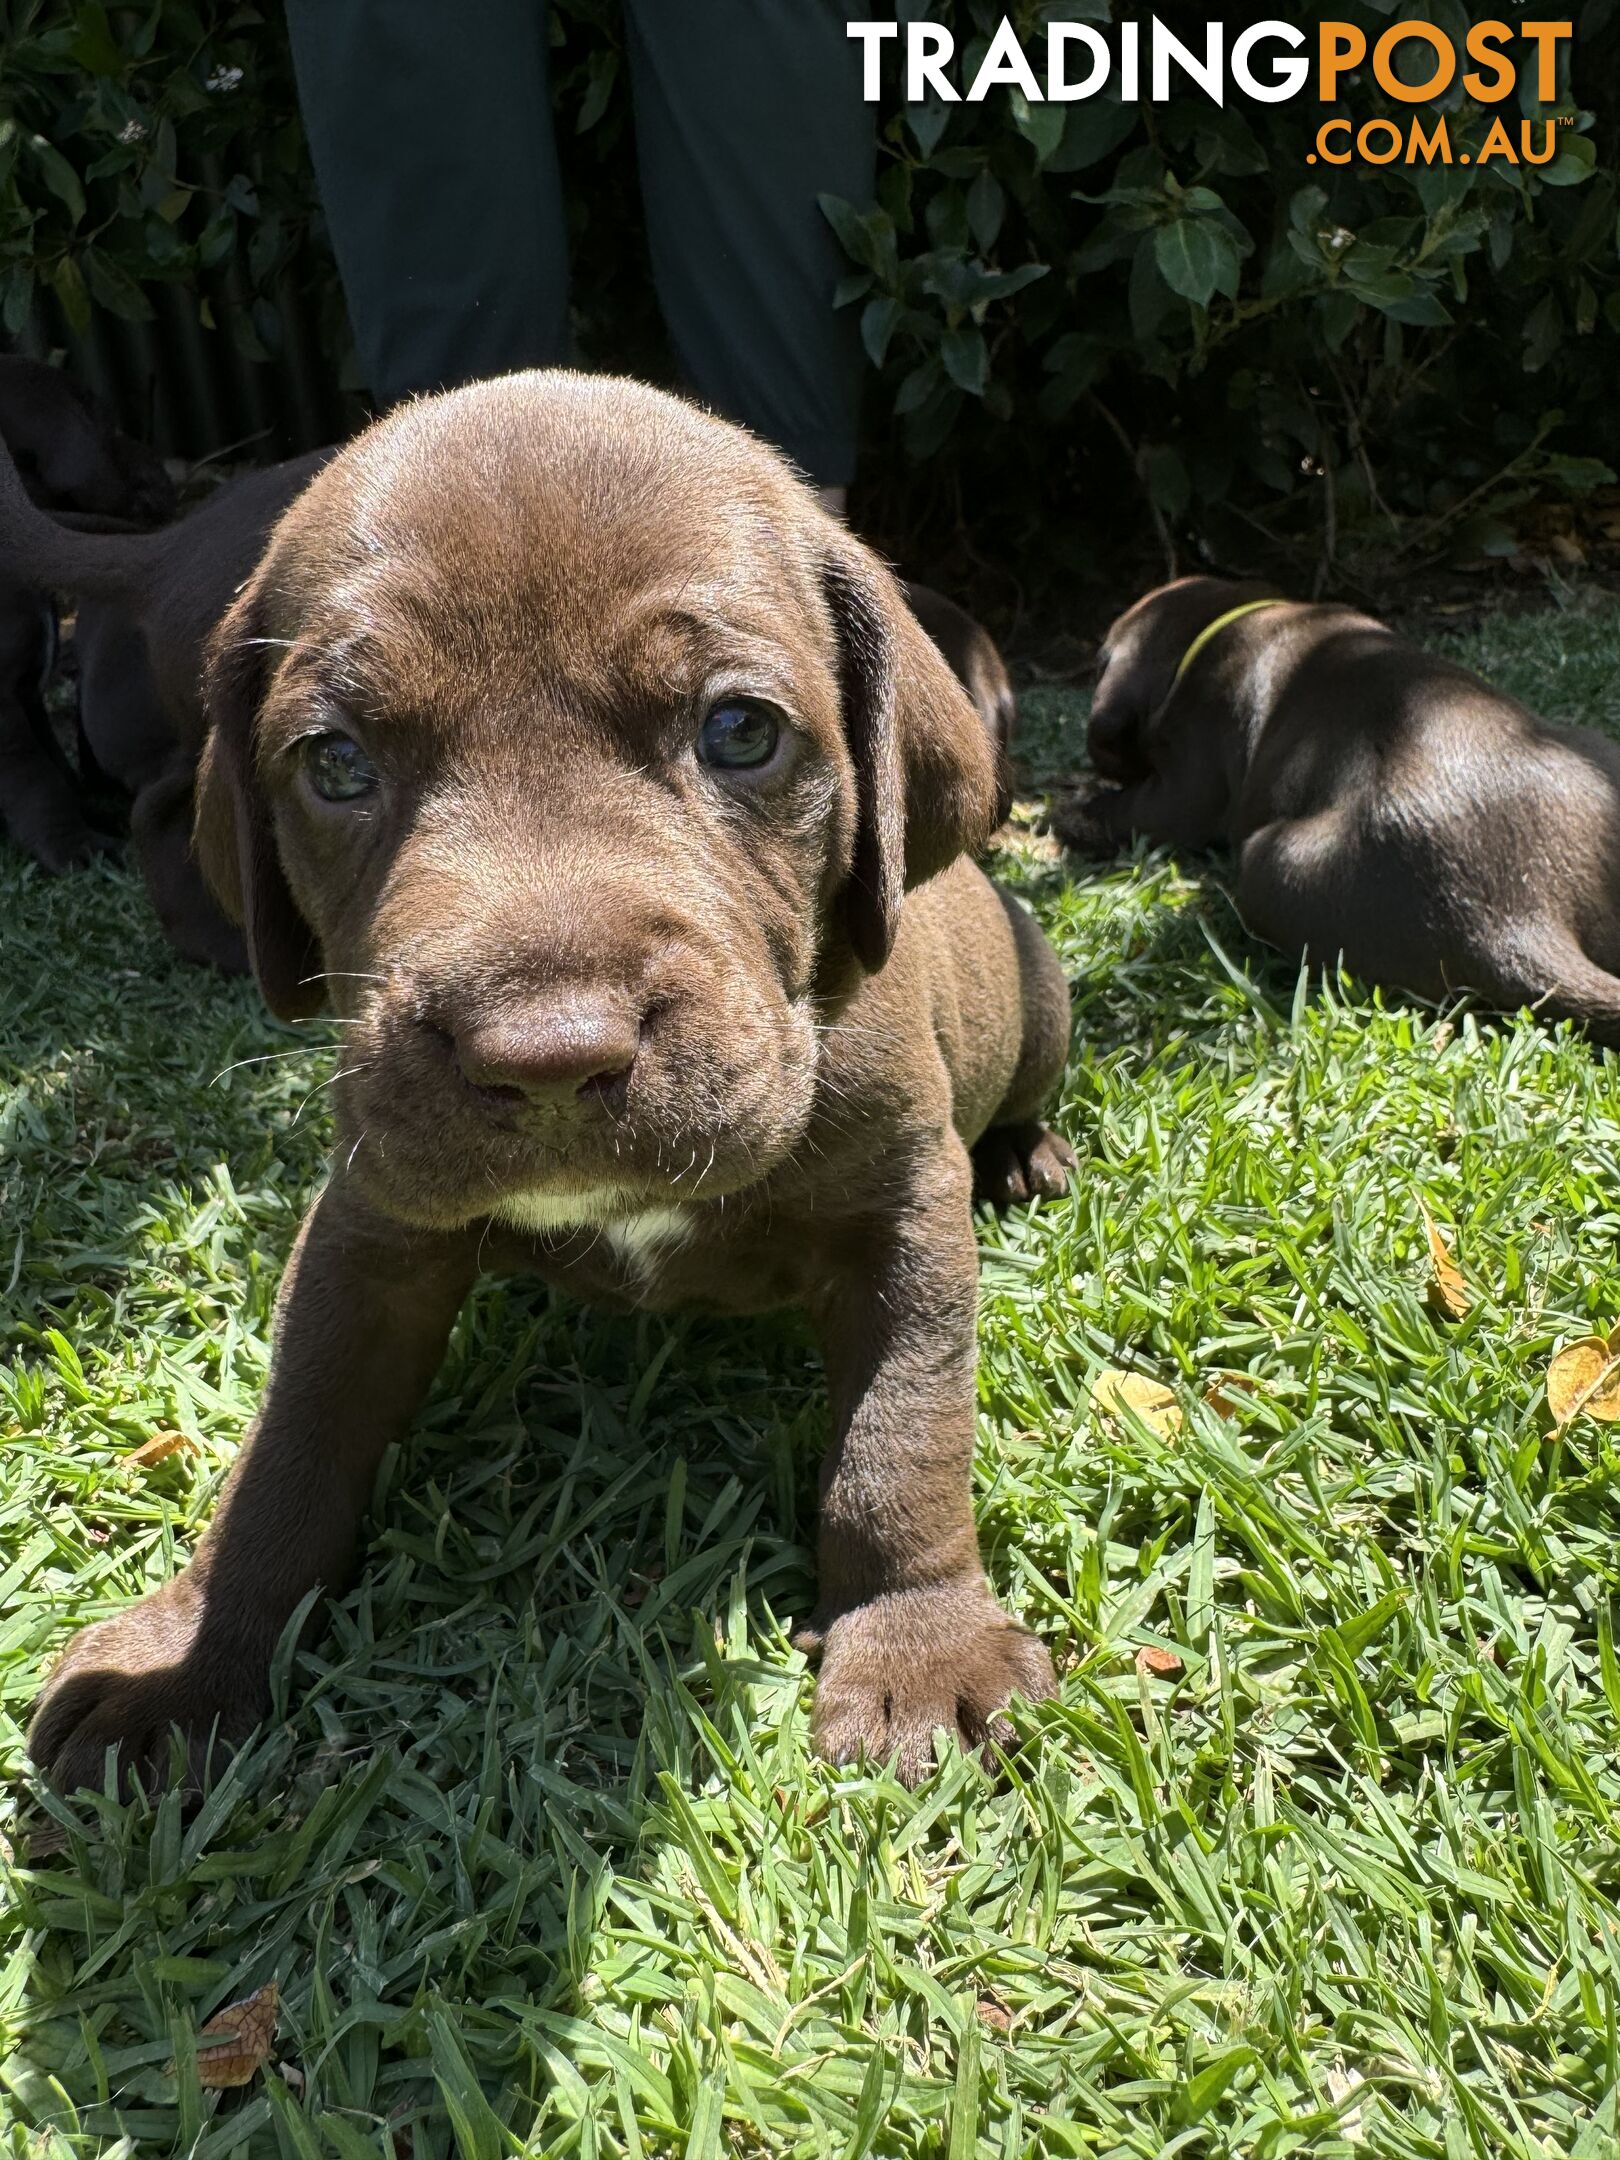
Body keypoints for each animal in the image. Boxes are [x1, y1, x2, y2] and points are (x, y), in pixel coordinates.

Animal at [0, 354, 174, 868]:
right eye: (106, 424)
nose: (165, 470)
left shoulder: (26, 683)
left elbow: (53, 761)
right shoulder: (5, 707)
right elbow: (36, 779)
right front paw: (74, 848)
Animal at [1058, 578, 1620, 1041]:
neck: (1223, 621)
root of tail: (1516, 917)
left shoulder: (1189, 780)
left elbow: (1143, 810)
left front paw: (1071, 815)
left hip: (1270, 862)